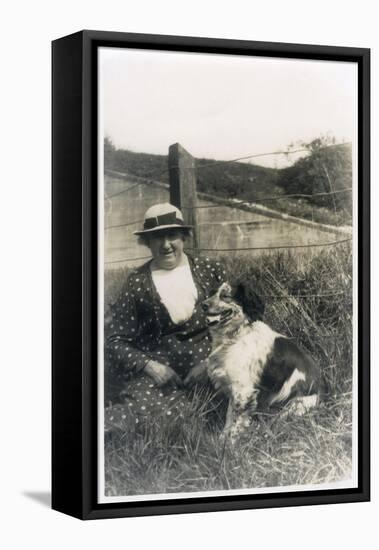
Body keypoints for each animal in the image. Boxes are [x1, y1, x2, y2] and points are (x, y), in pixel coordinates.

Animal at [203, 282, 322, 442]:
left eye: (225, 295)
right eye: (212, 293)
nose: (203, 305)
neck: (236, 335)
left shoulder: (243, 390)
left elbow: (236, 421)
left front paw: (230, 443)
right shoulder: (234, 388)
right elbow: (229, 417)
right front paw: (222, 439)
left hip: (293, 407)